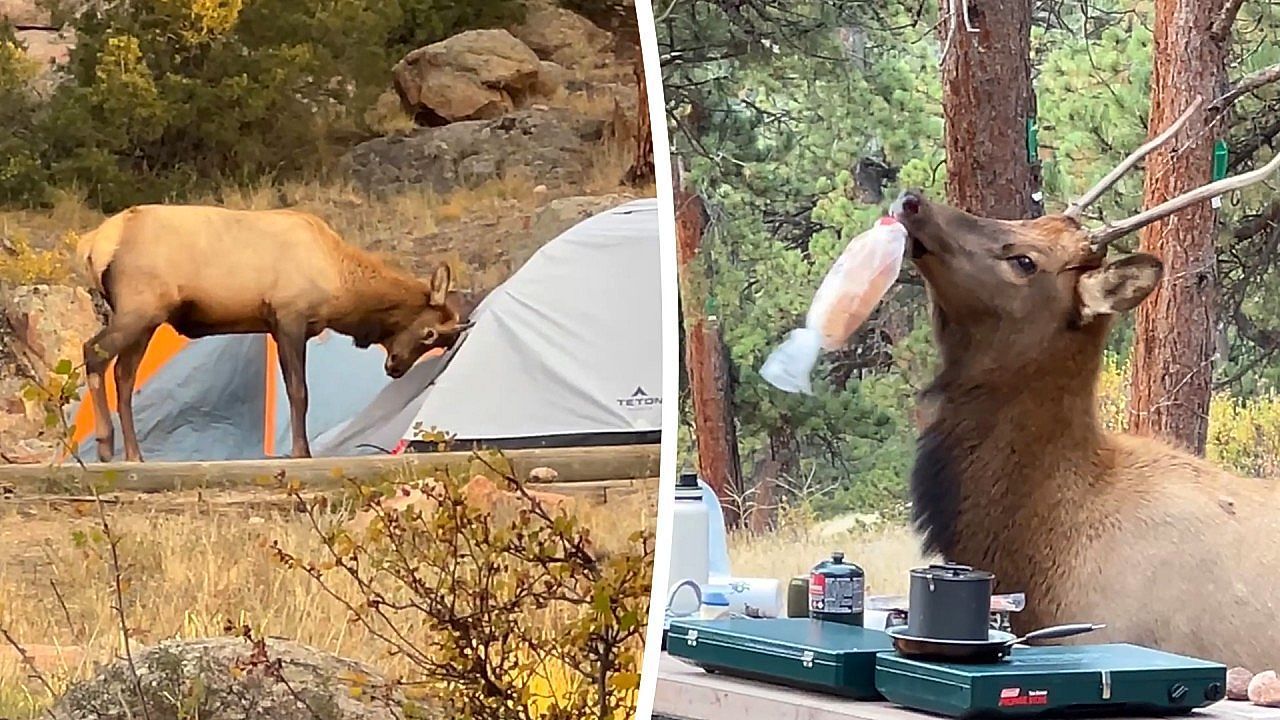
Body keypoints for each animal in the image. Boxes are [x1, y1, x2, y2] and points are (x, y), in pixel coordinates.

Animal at [76, 204, 474, 463]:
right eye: (429, 333)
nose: (395, 367)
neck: (340, 286)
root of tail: (94, 245)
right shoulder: (289, 317)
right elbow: (299, 391)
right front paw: (301, 451)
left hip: (147, 320)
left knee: (123, 376)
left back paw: (134, 454)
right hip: (138, 309)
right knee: (93, 352)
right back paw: (105, 445)